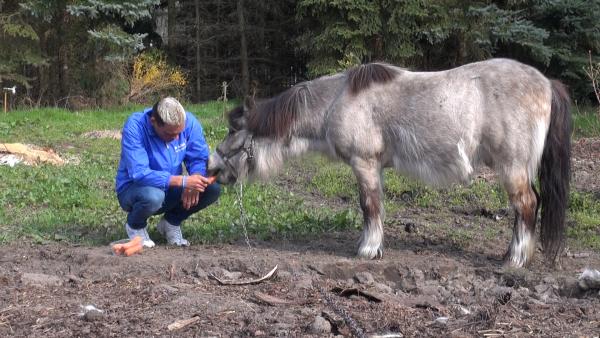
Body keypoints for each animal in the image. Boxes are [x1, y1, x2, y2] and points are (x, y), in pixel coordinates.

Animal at [207, 59, 572, 268]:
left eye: (233, 130)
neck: (337, 101)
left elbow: (369, 206)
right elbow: (377, 206)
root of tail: (546, 82)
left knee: (526, 206)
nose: (212, 167)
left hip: (512, 168)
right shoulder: (376, 168)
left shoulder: (364, 164)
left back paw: (516, 259)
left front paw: (368, 250)